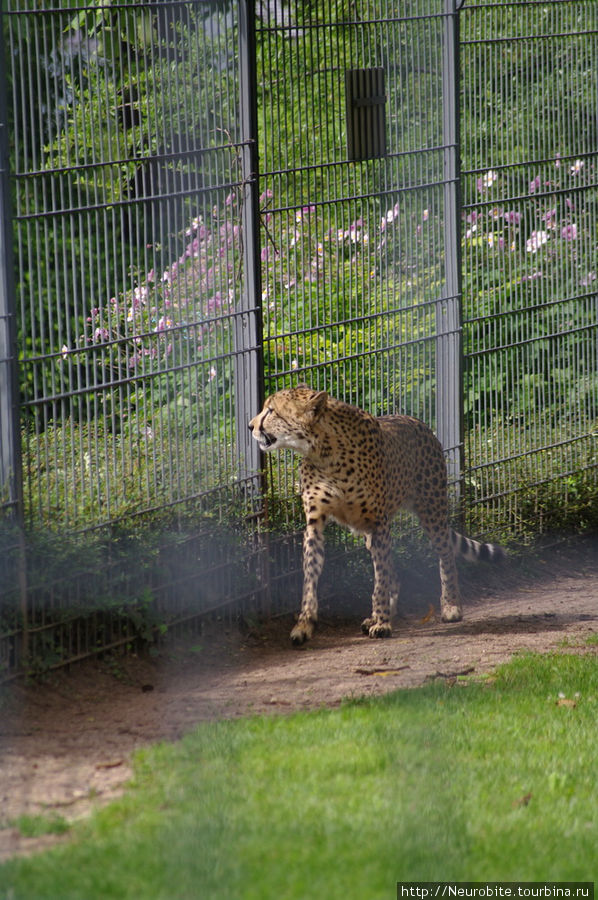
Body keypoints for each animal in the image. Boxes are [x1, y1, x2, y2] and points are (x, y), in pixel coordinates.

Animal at [250, 384, 506, 644]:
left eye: (271, 411)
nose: (251, 426)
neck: (324, 451)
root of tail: (417, 421)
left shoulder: (378, 522)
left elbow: (380, 579)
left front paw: (382, 622)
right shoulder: (315, 524)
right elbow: (310, 577)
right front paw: (304, 625)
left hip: (431, 510)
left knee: (444, 555)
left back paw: (450, 606)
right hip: (372, 534)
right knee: (392, 570)